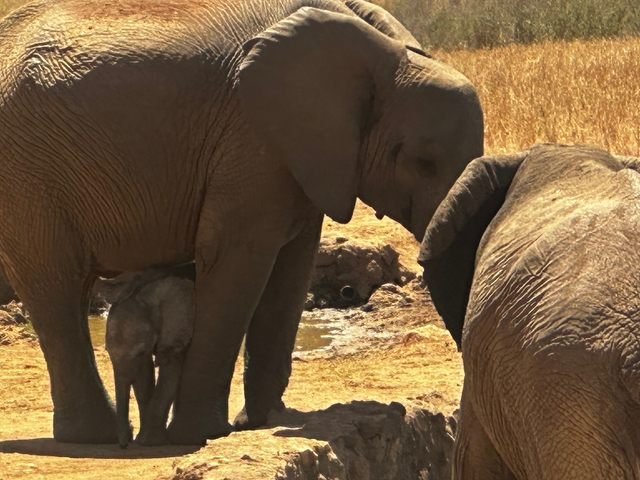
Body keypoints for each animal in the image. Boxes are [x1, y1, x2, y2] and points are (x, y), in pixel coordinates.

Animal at [105, 264, 195, 448]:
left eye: (140, 352)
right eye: (106, 351)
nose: (124, 444)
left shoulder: (178, 328)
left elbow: (170, 372)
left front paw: (147, 442)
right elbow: (144, 378)